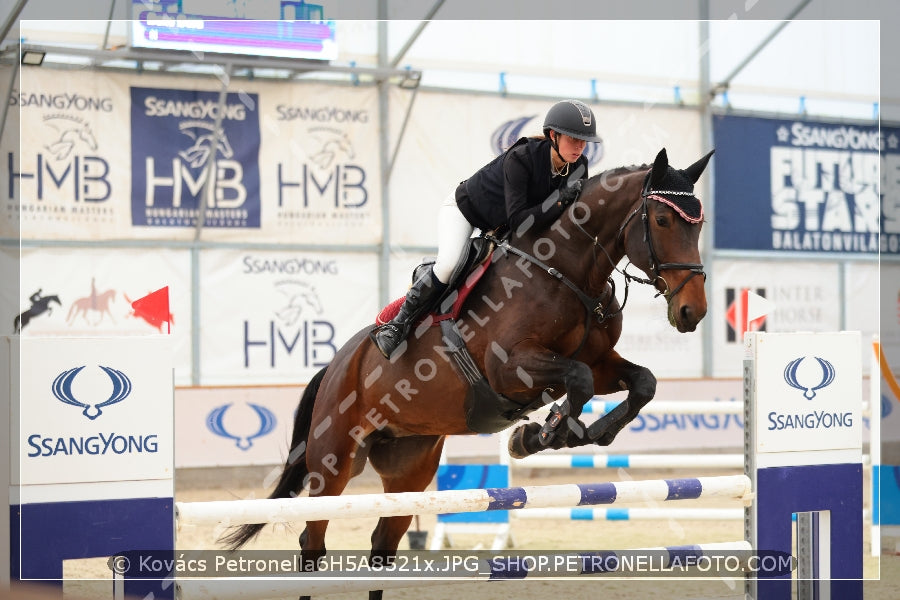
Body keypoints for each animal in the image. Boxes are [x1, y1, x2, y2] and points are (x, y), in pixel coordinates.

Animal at [221, 148, 712, 596]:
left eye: (699, 225)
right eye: (663, 221)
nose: (694, 312)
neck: (567, 272)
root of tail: (335, 364)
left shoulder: (600, 361)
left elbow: (640, 382)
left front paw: (582, 433)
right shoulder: (510, 368)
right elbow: (578, 379)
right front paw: (540, 435)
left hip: (409, 467)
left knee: (382, 545)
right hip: (333, 460)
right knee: (312, 541)